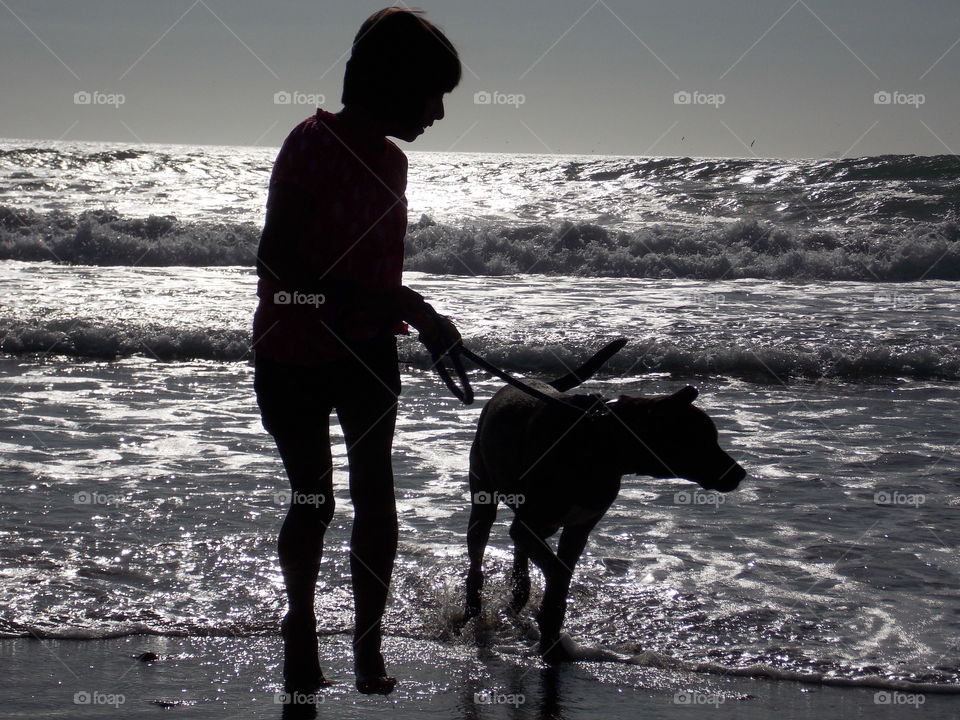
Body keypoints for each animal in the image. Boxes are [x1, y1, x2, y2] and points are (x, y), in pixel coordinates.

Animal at [456, 340, 744, 660]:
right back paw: (473, 610)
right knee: (480, 551)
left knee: (521, 547)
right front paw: (550, 624)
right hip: (484, 497)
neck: (605, 441)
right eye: (702, 439)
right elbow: (558, 573)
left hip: (540, 522)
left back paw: (519, 594)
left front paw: (551, 631)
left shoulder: (578, 528)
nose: (739, 473)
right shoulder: (539, 523)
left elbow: (560, 572)